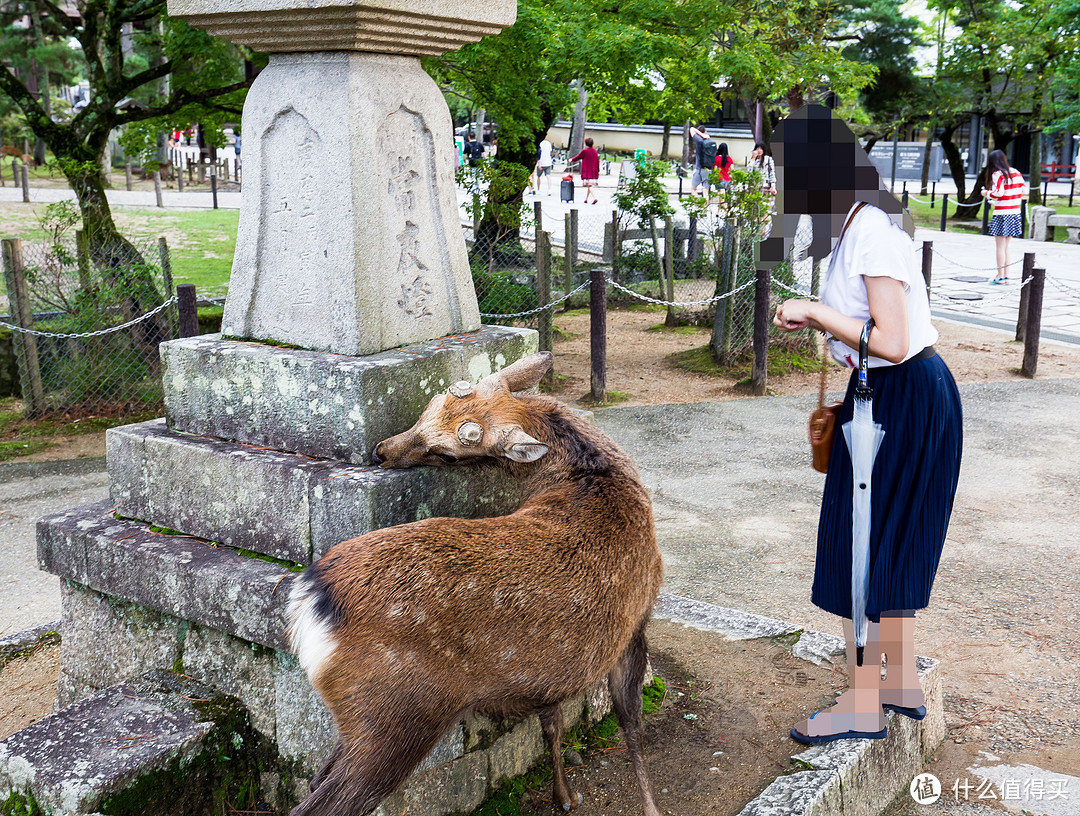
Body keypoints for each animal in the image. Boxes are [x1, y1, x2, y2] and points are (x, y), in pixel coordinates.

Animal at [287, 349, 660, 816]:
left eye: (447, 453)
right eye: (427, 409)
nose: (380, 451)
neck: (598, 480)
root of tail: (311, 598)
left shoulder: (550, 670)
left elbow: (553, 723)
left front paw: (563, 796)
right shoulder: (638, 617)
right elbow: (632, 724)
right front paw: (650, 806)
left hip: (358, 719)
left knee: (316, 775)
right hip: (399, 712)